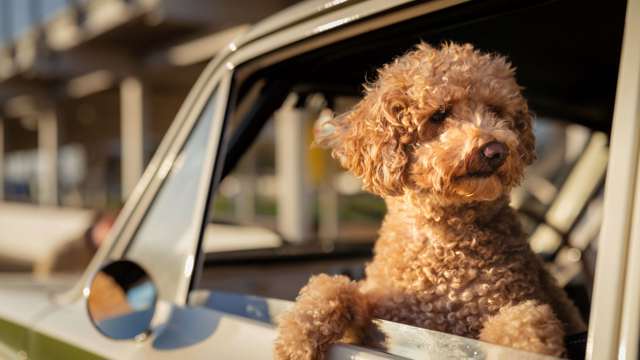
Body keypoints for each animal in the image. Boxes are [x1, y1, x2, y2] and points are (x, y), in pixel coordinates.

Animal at [276, 43, 584, 360]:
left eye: (496, 111)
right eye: (439, 114)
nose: (495, 150)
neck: (443, 240)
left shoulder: (516, 306)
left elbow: (523, 323)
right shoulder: (379, 313)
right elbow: (333, 287)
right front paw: (296, 337)